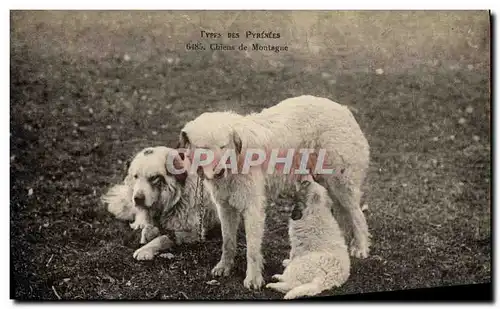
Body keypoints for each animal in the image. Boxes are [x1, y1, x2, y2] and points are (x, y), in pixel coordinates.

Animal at [178, 94, 370, 288]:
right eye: (204, 149)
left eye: (223, 146)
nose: (219, 172)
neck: (236, 160)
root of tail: (342, 108)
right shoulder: (225, 207)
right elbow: (228, 242)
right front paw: (224, 266)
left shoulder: (253, 207)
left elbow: (252, 249)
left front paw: (253, 278)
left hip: (341, 184)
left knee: (357, 215)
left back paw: (360, 248)